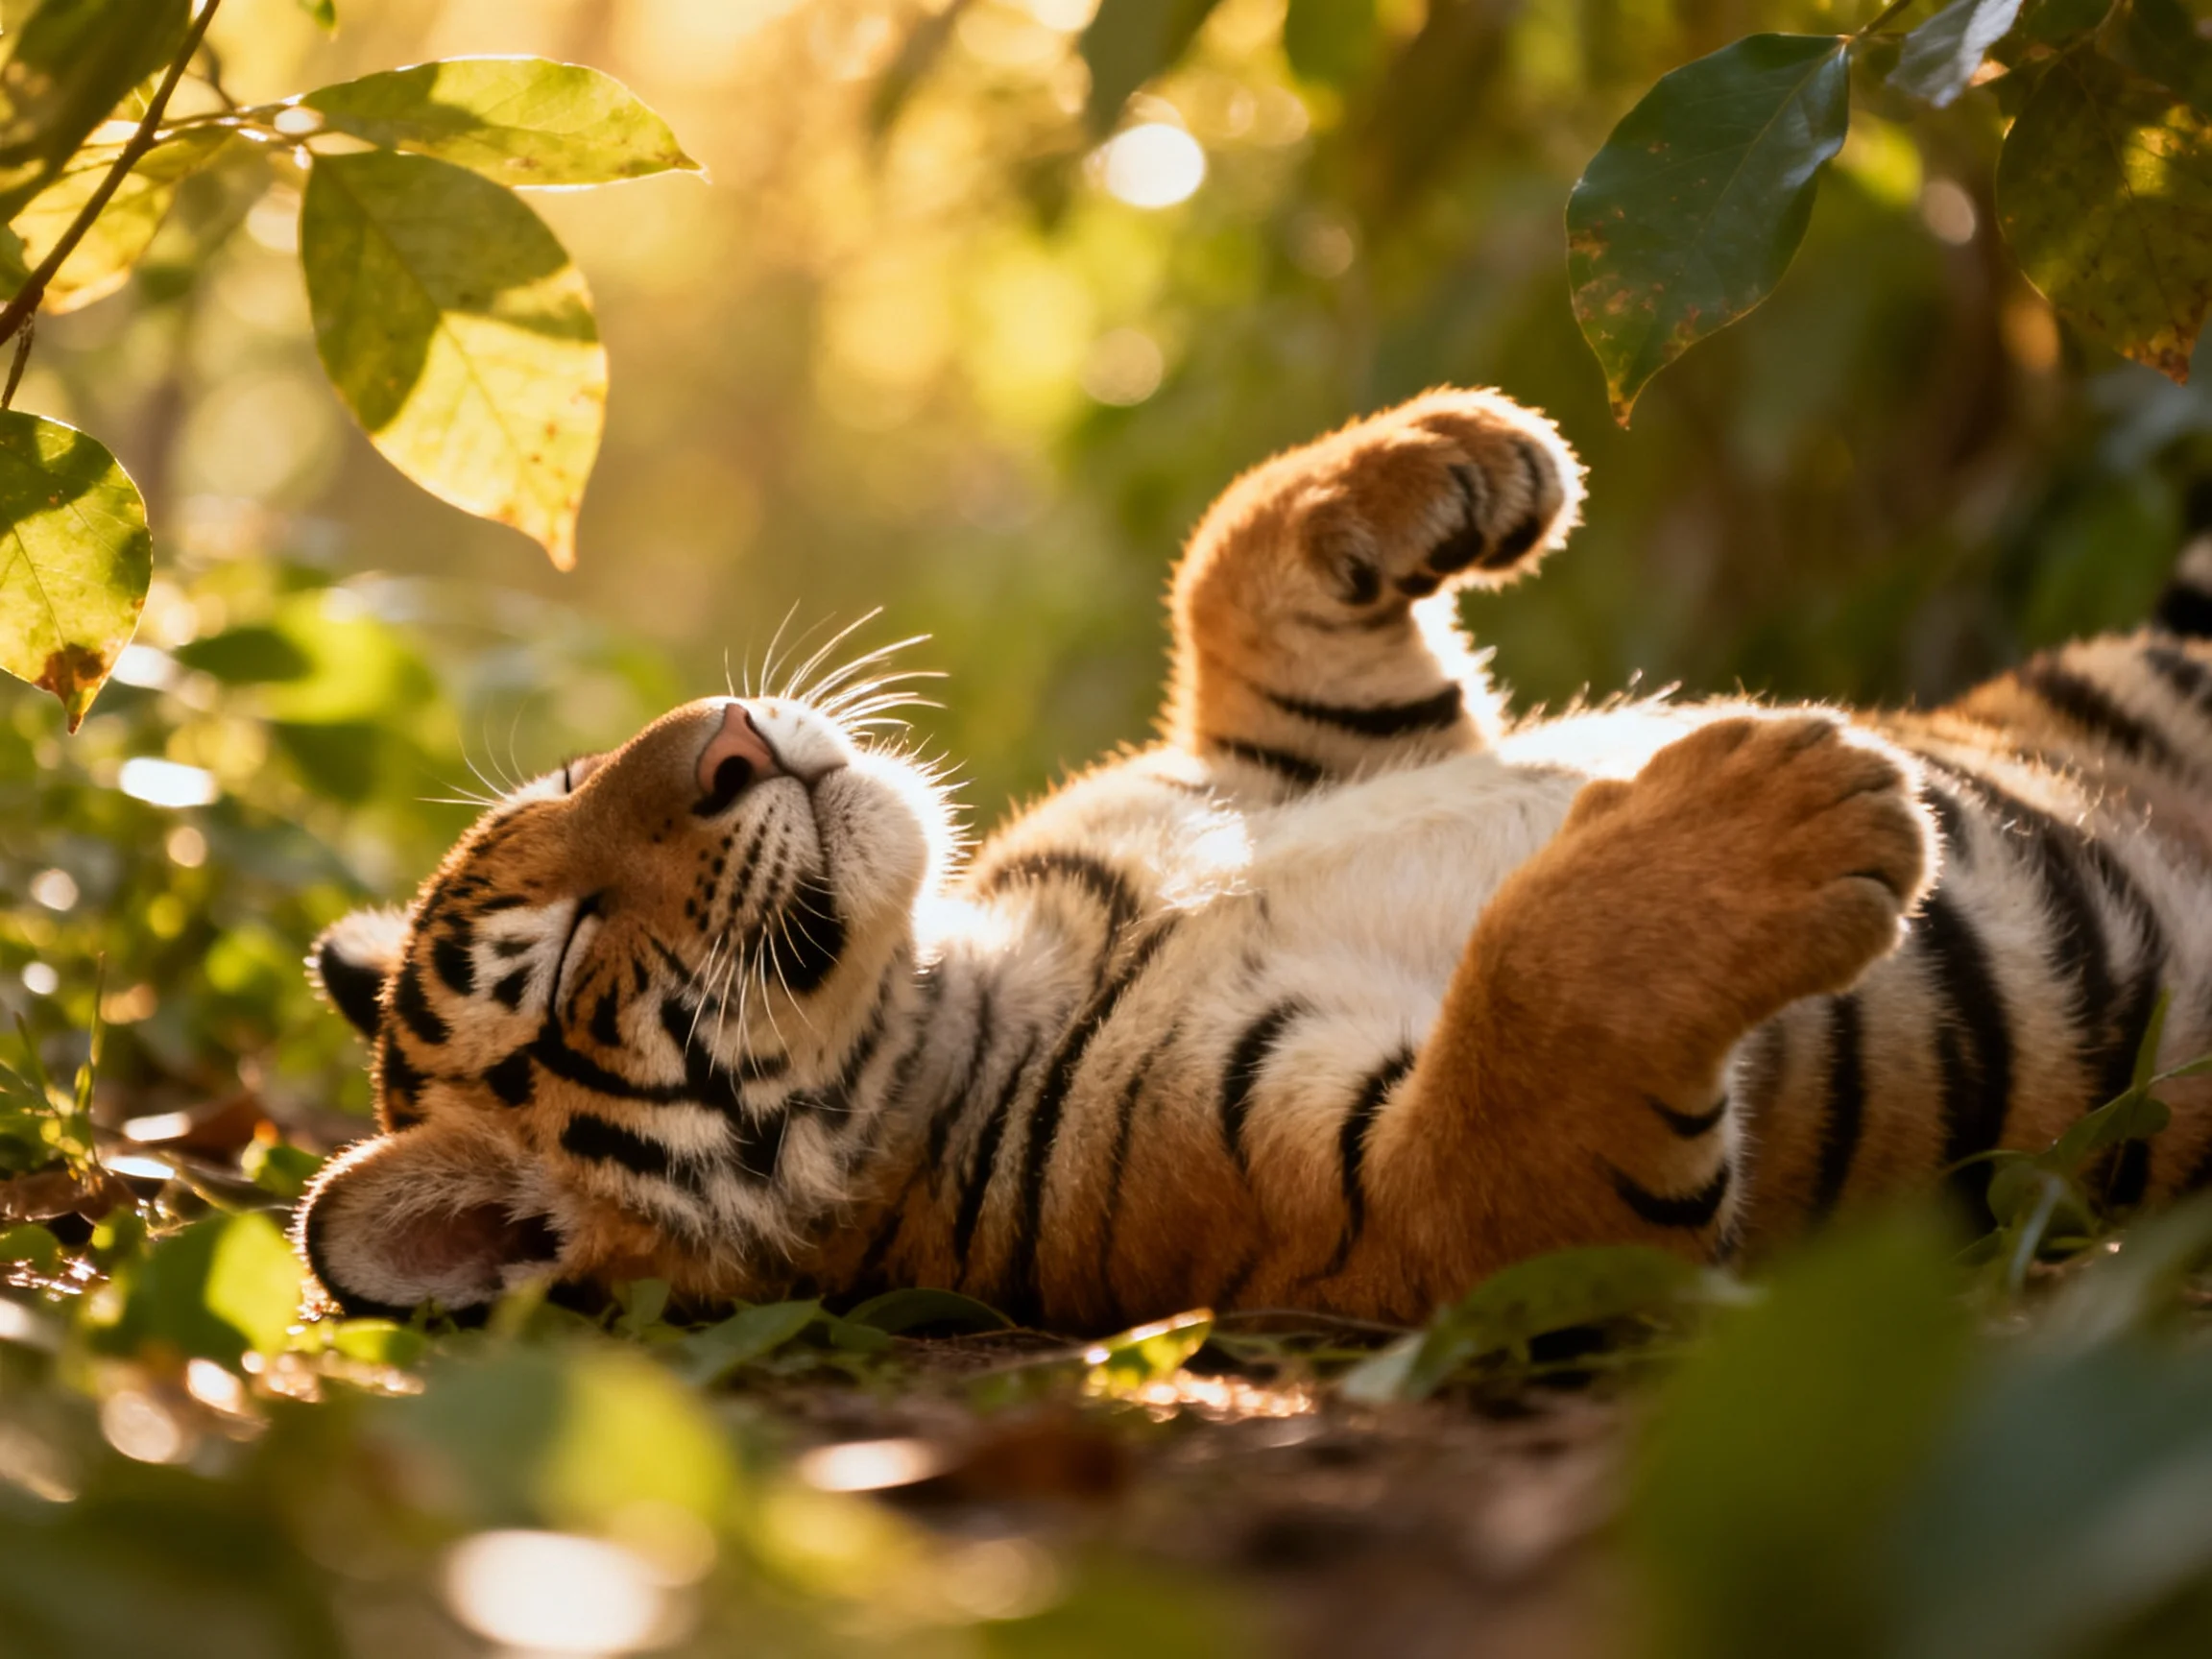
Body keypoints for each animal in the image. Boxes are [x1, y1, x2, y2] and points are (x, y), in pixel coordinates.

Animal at [292, 387, 2212, 1332]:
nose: (726, 737)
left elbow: (1224, 558)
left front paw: (1458, 453)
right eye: (559, 955)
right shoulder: (1445, 1218)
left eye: (572, 774)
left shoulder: (1314, 742)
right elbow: (1527, 1009)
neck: (966, 964)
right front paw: (1787, 805)